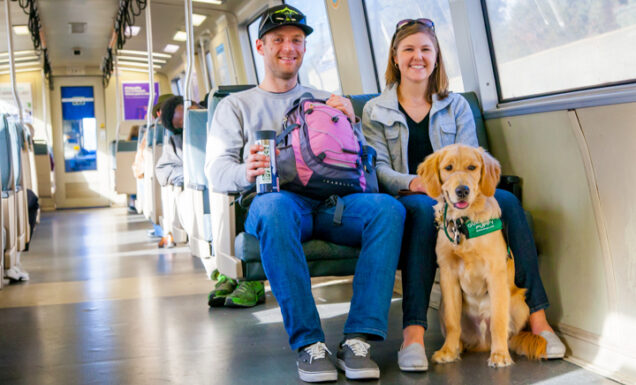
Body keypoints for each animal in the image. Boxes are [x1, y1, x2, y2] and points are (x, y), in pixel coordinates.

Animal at [418, 144, 548, 366]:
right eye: (448, 168)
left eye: (472, 167)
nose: (462, 190)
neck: (463, 224)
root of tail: (482, 342)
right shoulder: (448, 274)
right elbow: (453, 322)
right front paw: (448, 351)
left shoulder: (495, 273)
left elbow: (498, 320)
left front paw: (500, 355)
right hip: (443, 305)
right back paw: (458, 346)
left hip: (519, 303)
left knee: (507, 332)